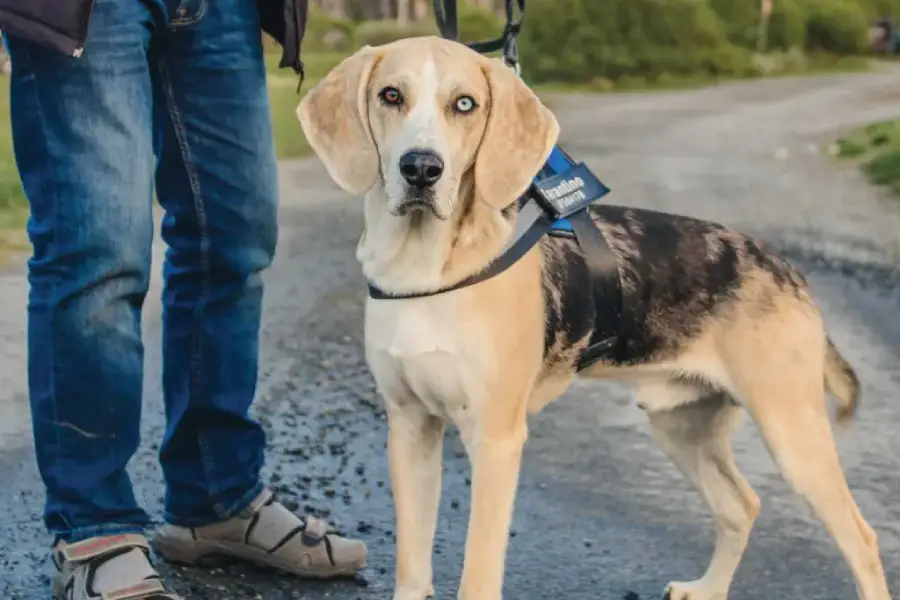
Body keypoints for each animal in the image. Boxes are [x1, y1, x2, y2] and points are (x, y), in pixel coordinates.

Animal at [298, 36, 892, 600]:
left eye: (464, 104)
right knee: (741, 506)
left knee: (861, 537)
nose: (421, 168)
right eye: (389, 96)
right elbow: (412, 567)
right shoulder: (410, 427)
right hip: (682, 425)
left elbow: (478, 574)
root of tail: (786, 268)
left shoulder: (495, 439)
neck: (426, 271)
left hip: (793, 433)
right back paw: (707, 588)